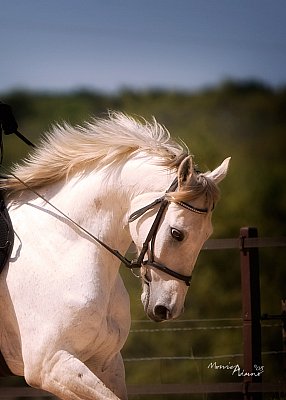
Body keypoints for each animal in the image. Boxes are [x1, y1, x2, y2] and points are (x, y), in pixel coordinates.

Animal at [0, 113, 229, 400]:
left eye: (207, 235)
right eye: (177, 233)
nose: (168, 309)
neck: (64, 246)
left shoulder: (106, 362)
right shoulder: (49, 365)